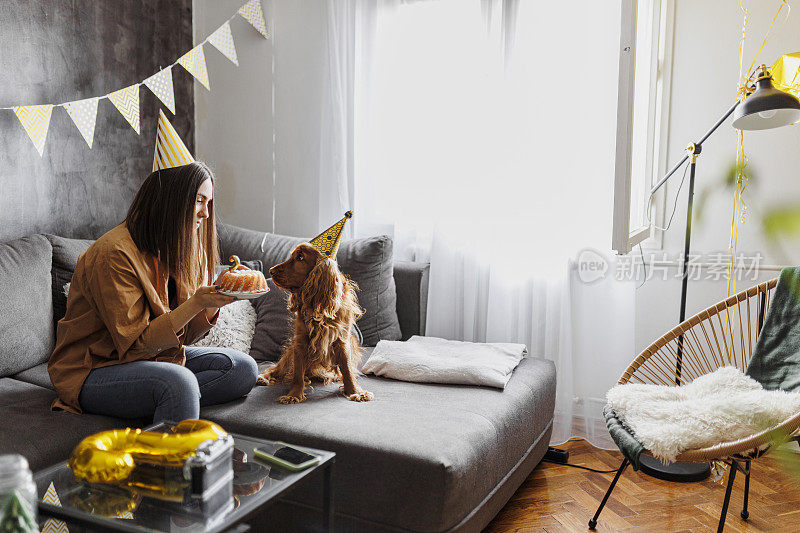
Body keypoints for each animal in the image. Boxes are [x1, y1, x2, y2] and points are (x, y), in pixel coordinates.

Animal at [256, 242, 376, 404]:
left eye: (300, 257)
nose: (271, 271)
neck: (319, 308)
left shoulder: (341, 339)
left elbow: (347, 368)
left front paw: (355, 392)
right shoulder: (300, 340)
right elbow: (297, 371)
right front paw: (294, 394)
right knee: (277, 368)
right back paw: (264, 377)